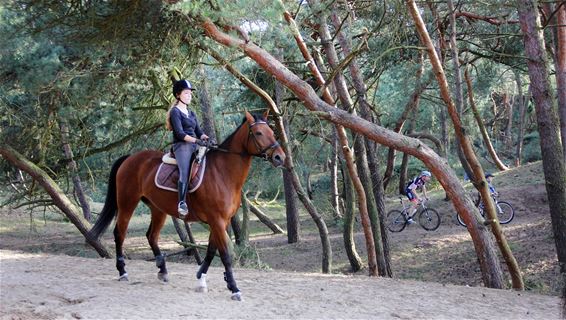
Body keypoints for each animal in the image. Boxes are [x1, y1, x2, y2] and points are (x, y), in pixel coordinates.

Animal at [90, 112, 286, 300]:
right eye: (259, 133)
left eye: (271, 131)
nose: (280, 157)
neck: (223, 173)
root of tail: (130, 158)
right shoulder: (217, 220)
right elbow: (224, 254)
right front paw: (234, 288)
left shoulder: (221, 221)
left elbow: (210, 251)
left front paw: (201, 279)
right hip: (127, 203)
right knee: (120, 234)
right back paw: (123, 271)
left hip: (158, 209)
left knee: (151, 236)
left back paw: (162, 270)